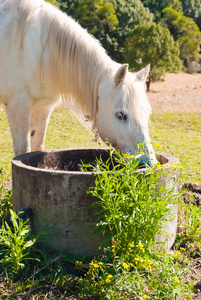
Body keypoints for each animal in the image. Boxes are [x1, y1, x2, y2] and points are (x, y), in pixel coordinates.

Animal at [0, 0, 157, 166]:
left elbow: (37, 146)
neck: (41, 50)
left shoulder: (43, 108)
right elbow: (23, 149)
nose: (148, 163)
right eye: (120, 115)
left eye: (147, 113)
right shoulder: (18, 106)